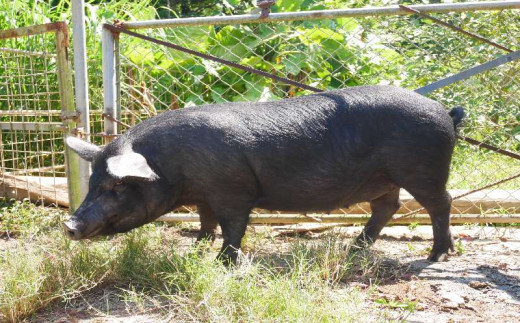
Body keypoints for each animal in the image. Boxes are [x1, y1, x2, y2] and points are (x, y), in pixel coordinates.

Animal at [63, 86, 466, 264]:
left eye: (117, 185)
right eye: (93, 183)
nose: (69, 225)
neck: (172, 168)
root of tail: (445, 112)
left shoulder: (232, 190)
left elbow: (233, 226)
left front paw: (223, 262)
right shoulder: (205, 195)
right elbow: (205, 221)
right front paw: (196, 249)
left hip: (423, 169)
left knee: (441, 202)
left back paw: (436, 256)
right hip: (386, 178)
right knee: (387, 207)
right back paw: (354, 248)